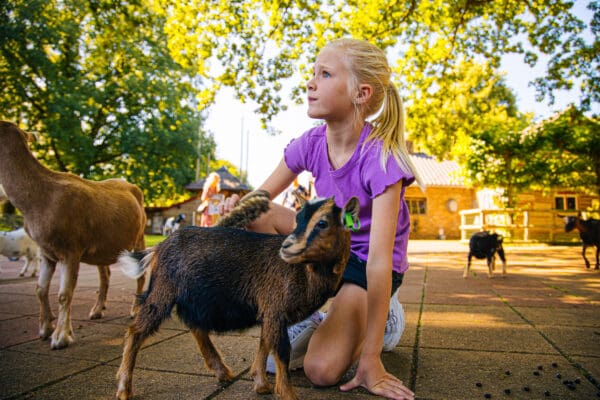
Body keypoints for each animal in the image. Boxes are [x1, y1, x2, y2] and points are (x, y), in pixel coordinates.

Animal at [0, 120, 146, 348]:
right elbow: (40, 289)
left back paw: (134, 310)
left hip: (139, 236)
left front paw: (61, 337)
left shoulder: (71, 249)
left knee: (140, 274)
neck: (40, 200)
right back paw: (97, 310)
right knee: (105, 275)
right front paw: (45, 329)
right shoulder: (46, 252)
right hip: (103, 247)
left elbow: (64, 293)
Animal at [115, 194, 358, 400]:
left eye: (323, 223)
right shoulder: (275, 307)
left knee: (195, 325)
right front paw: (287, 394)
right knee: (136, 331)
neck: (305, 274)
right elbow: (280, 351)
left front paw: (261, 384)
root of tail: (158, 247)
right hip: (163, 290)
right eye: (296, 219)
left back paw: (222, 371)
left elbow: (265, 341)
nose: (287, 248)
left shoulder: (269, 311)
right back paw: (124, 388)